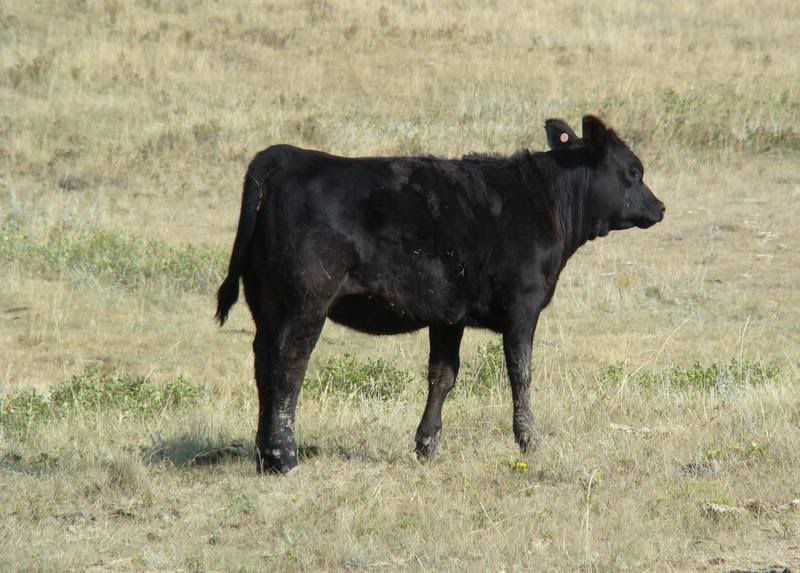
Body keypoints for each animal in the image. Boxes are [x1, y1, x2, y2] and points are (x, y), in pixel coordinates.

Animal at [216, 115, 665, 474]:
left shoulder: (449, 314)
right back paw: (284, 457)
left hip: (267, 303)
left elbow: (442, 376)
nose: (660, 207)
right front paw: (529, 440)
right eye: (633, 171)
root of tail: (286, 155)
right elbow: (520, 372)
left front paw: (427, 445)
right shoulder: (523, 306)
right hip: (306, 302)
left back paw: (264, 456)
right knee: (288, 366)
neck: (542, 201)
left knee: (263, 365)